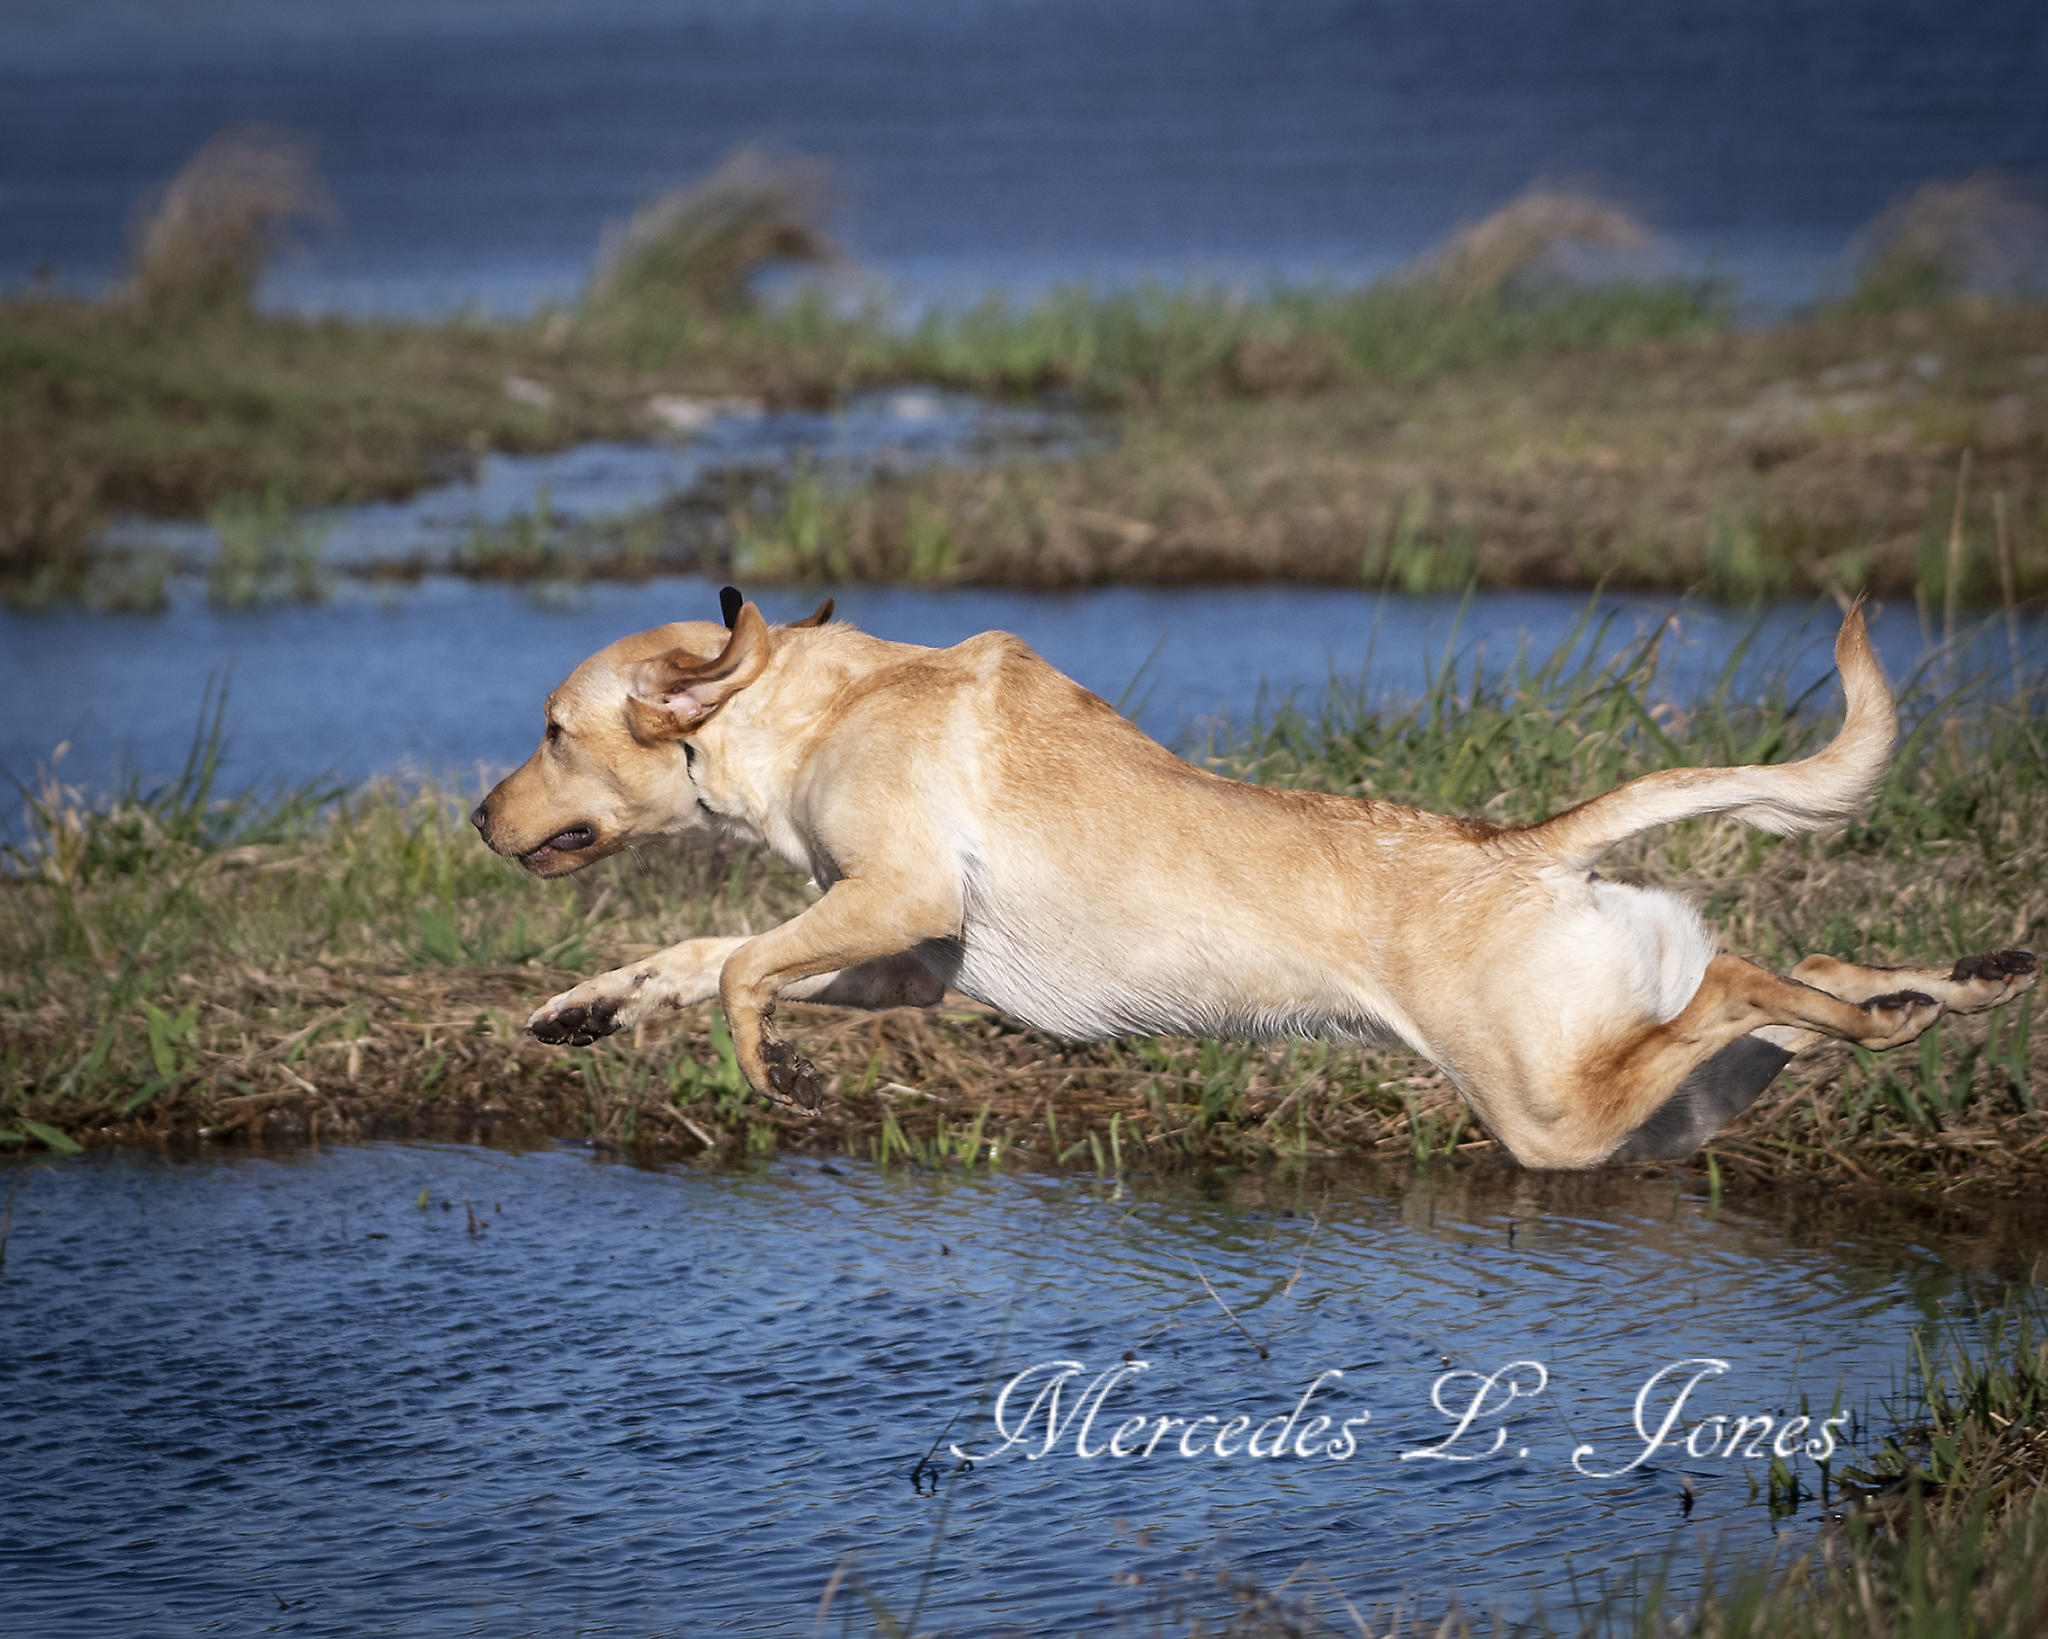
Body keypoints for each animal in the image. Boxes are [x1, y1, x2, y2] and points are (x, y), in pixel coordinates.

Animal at [475, 590, 2031, 1163]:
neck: (812, 703)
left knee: (1749, 976)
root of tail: (1524, 844)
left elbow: (744, 962)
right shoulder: (908, 960)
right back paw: (1945, 987)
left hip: (1556, 1114)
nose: (482, 816)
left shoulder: (902, 903)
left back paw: (1909, 1000)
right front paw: (588, 1008)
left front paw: (769, 1072)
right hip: (1644, 1105)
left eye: (548, 728)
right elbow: (695, 957)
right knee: (1788, 982)